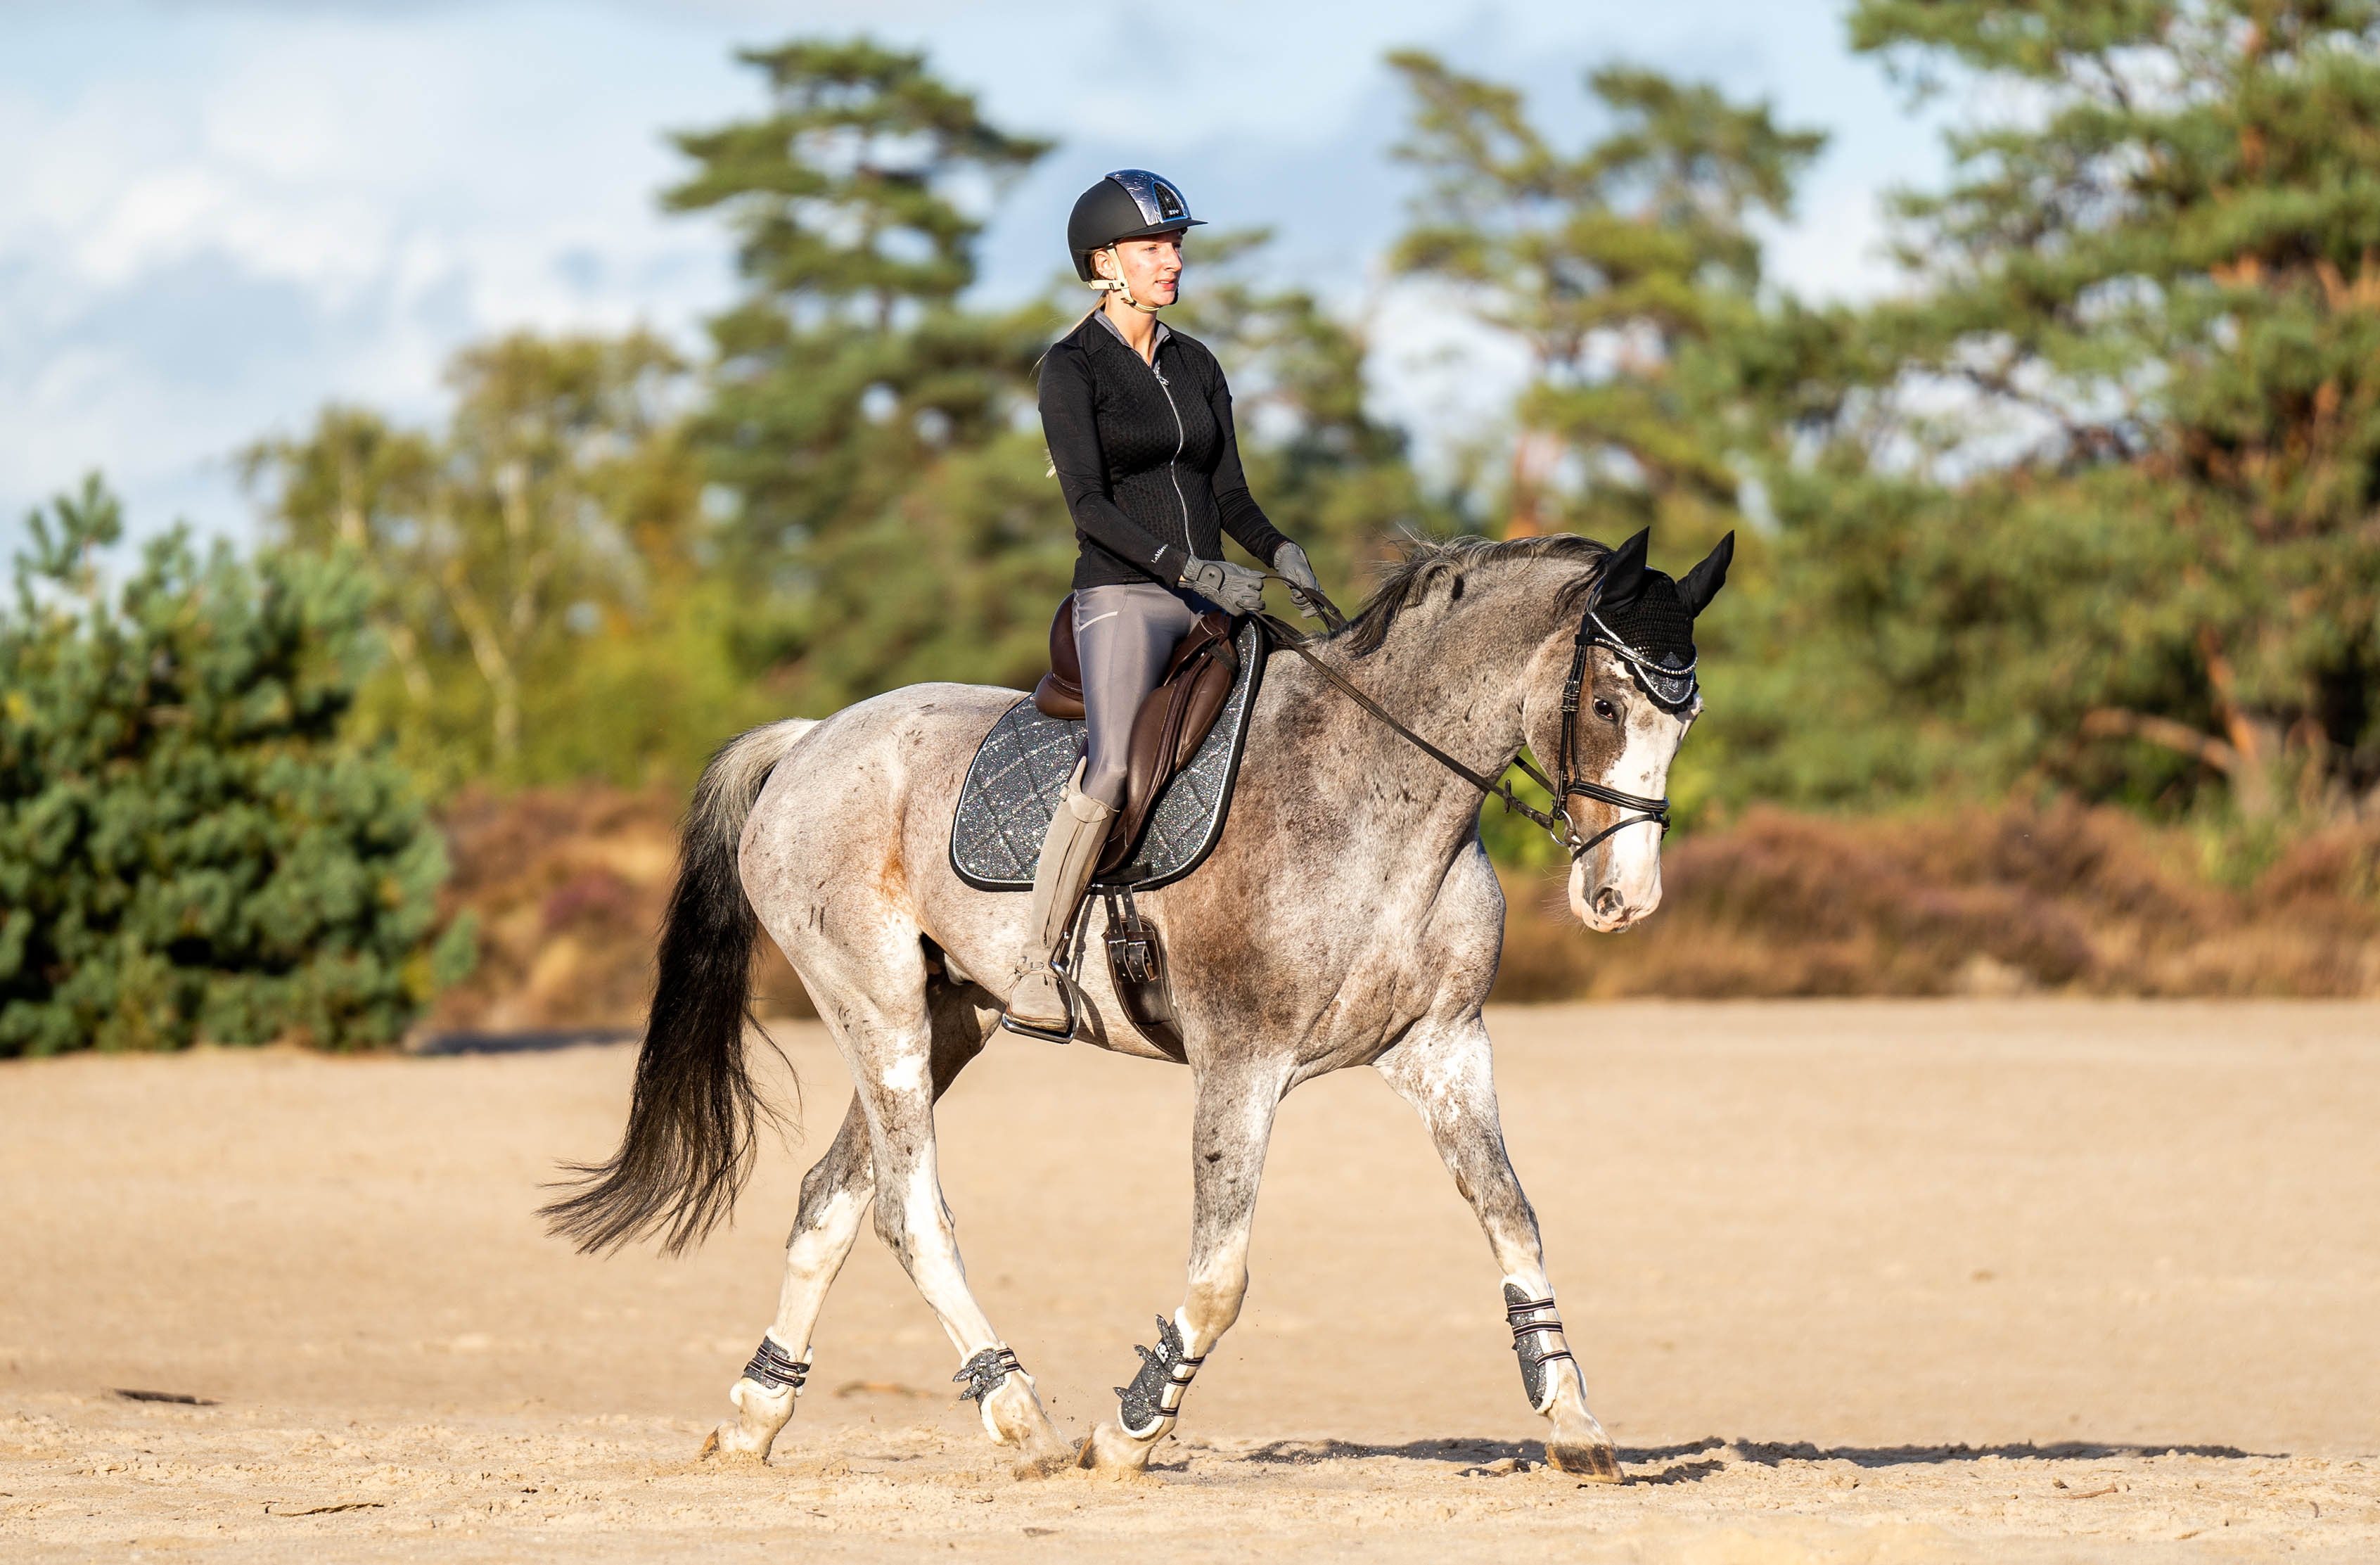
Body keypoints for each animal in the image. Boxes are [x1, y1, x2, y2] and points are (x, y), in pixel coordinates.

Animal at [544, 528, 1732, 1474]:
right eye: (1606, 703)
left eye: (1688, 720)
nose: (1623, 900)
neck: (1384, 800)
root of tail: (810, 741)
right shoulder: (1242, 1062)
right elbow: (1219, 1276)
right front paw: (1130, 1431)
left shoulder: (1444, 1046)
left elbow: (1511, 1218)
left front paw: (1572, 1420)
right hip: (876, 1011)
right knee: (907, 1209)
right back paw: (1022, 1420)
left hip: (948, 1018)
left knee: (830, 1200)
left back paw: (756, 1415)